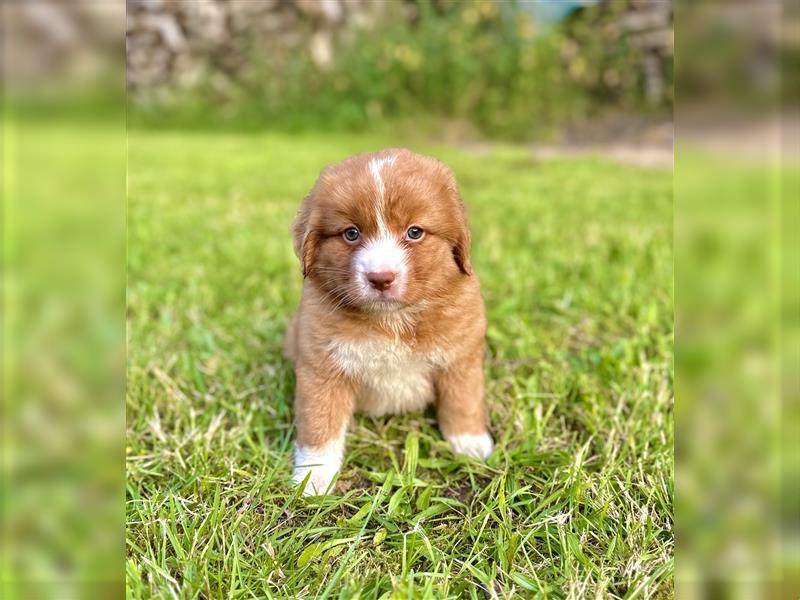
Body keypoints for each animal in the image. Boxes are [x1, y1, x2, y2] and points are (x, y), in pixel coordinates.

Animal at [284, 148, 490, 494]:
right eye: (351, 233)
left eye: (414, 232)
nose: (381, 278)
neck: (391, 320)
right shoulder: (321, 367)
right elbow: (319, 425)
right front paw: (314, 478)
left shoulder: (460, 357)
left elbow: (463, 402)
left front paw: (470, 443)